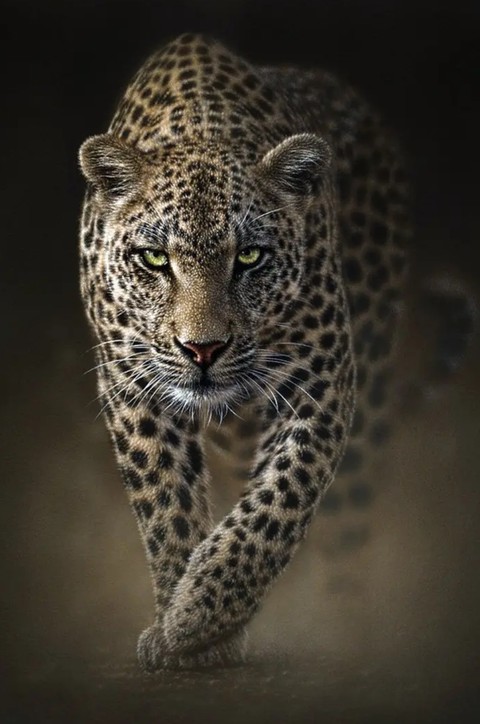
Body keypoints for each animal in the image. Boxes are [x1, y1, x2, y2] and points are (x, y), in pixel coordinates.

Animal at [78, 32, 411, 670]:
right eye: (154, 259)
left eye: (250, 257)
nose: (202, 350)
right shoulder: (130, 384)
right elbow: (165, 502)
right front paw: (184, 626)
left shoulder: (321, 378)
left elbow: (279, 503)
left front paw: (200, 617)